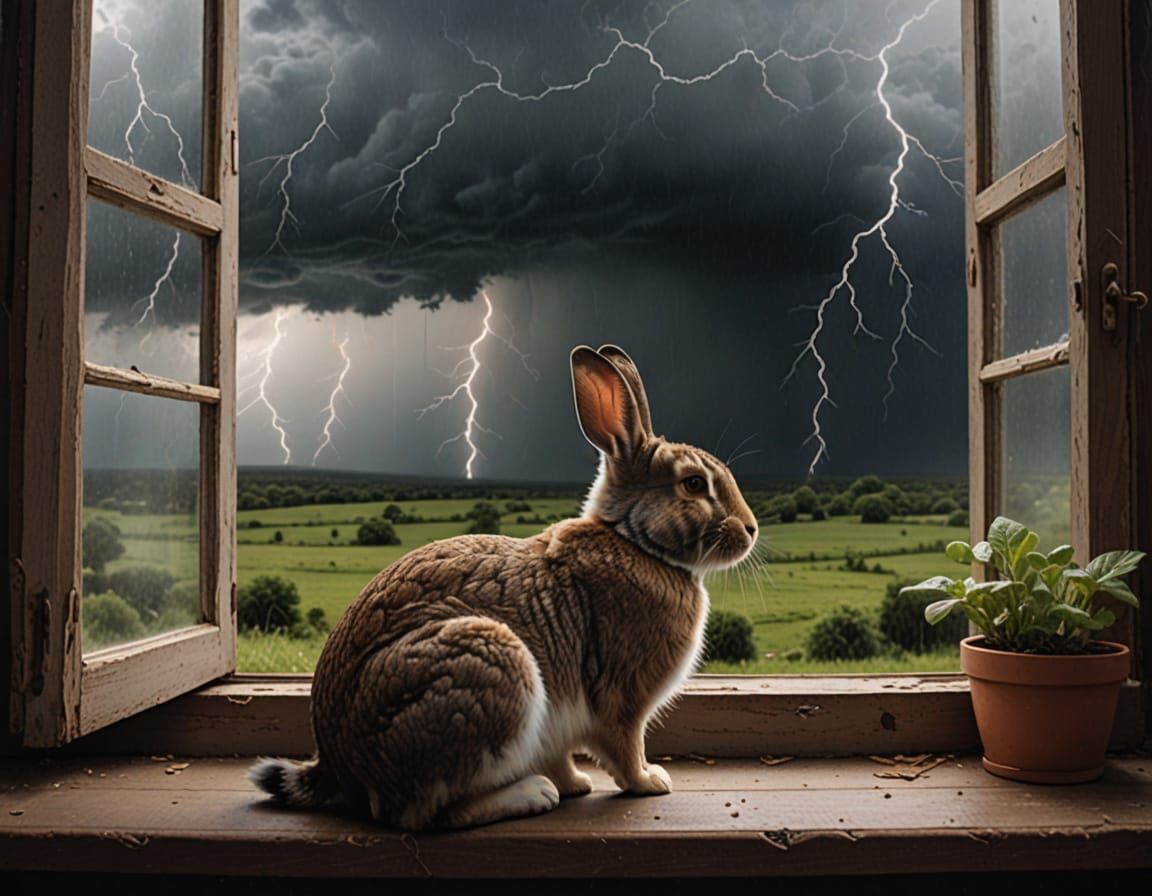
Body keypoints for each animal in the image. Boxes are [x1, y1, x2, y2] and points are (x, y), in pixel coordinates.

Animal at [250, 344, 758, 830]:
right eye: (693, 484)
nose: (751, 530)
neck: (635, 541)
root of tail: (341, 767)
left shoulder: (558, 725)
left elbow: (562, 756)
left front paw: (577, 784)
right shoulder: (622, 699)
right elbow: (625, 748)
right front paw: (651, 782)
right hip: (487, 666)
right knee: (422, 815)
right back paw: (531, 795)